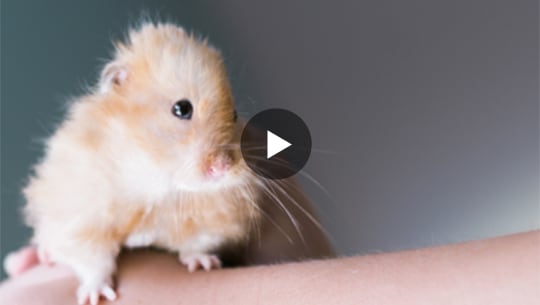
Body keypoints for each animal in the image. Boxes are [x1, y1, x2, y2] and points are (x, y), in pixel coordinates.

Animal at [21, 22, 264, 302]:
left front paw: (204, 264)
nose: (222, 168)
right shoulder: (79, 221)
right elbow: (94, 262)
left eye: (234, 115)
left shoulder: (213, 220)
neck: (154, 177)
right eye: (182, 108)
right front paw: (96, 296)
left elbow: (195, 244)